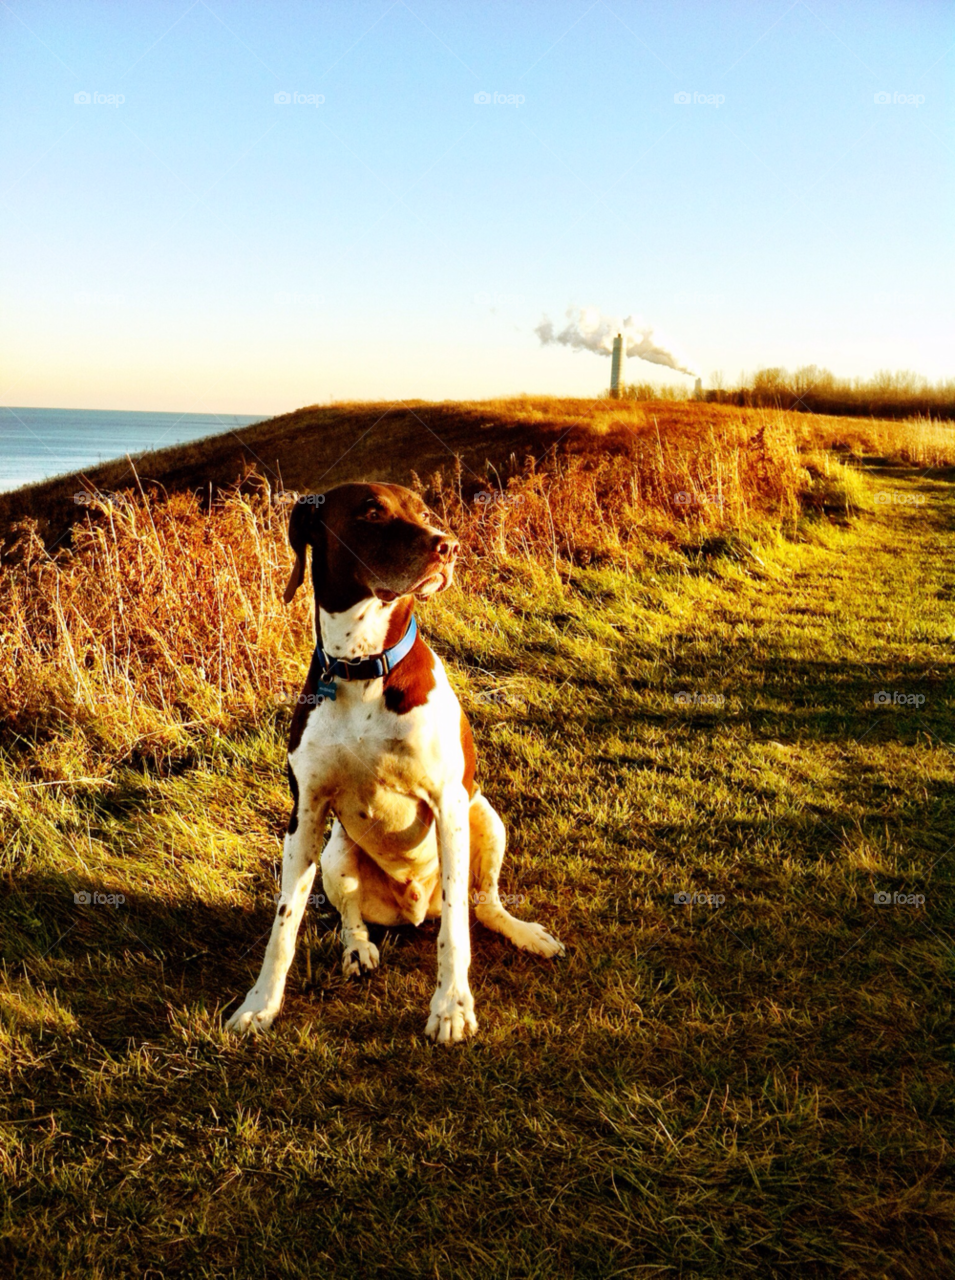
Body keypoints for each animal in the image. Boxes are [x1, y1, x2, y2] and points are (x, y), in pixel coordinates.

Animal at [226, 478, 560, 1039]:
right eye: (371, 511)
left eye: (425, 511)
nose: (449, 545)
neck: (362, 665)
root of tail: (413, 910)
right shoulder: (305, 814)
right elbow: (285, 922)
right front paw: (259, 1004)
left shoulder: (449, 805)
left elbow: (456, 930)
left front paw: (451, 1007)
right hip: (336, 850)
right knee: (350, 916)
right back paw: (358, 948)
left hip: (484, 816)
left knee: (481, 905)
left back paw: (525, 932)